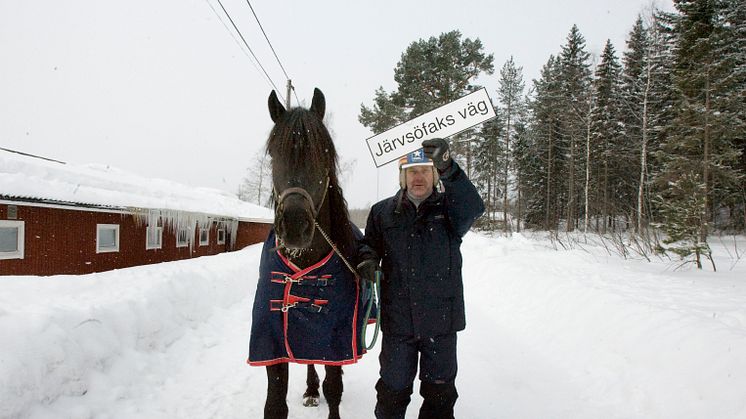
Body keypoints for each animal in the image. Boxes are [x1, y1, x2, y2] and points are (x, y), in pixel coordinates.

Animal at [247, 88, 366, 419]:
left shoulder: (336, 341)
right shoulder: (274, 343)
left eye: (323, 154)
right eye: (274, 153)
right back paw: (311, 390)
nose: (294, 225)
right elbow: (275, 403)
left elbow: (334, 388)